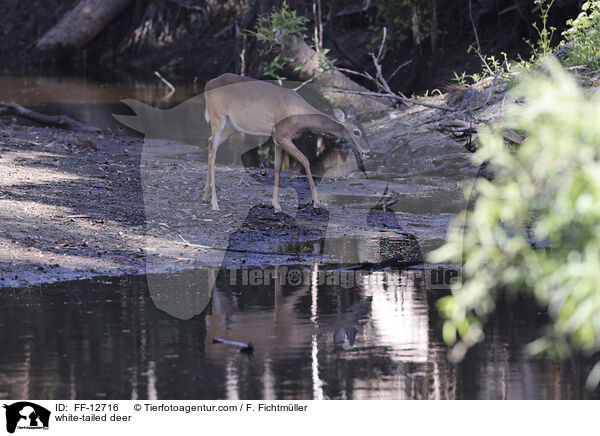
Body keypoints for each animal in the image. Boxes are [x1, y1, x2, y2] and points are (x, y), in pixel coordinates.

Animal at [204, 73, 368, 211]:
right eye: (356, 132)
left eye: (363, 128)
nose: (367, 150)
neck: (300, 114)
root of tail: (207, 84)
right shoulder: (282, 135)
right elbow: (305, 160)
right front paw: (316, 201)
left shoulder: (277, 138)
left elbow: (277, 167)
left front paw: (276, 205)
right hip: (217, 116)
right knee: (213, 153)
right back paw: (214, 203)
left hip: (231, 125)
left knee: (210, 143)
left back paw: (205, 196)